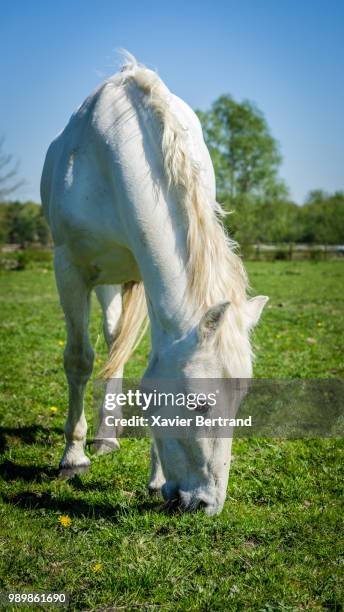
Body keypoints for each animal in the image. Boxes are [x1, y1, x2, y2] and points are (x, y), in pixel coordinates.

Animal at [41, 53, 268, 516]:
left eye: (241, 399)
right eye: (199, 404)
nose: (206, 504)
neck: (109, 154)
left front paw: (156, 479)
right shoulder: (69, 267)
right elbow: (78, 360)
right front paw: (73, 458)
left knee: (116, 343)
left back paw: (109, 435)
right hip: (103, 277)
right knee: (106, 344)